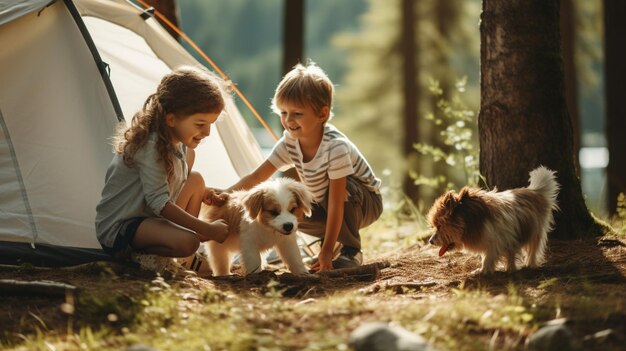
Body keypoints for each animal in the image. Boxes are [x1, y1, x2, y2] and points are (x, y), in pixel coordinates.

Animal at [426, 167, 560, 276]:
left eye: (439, 226)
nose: (430, 241)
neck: (470, 220)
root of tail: (534, 191)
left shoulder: (496, 240)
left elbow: (488, 257)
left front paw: (483, 270)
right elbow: (490, 255)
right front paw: (486, 269)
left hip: (535, 231)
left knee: (533, 249)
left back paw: (529, 264)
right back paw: (511, 268)